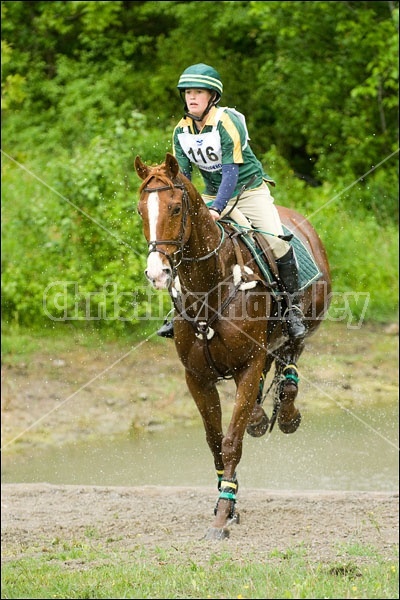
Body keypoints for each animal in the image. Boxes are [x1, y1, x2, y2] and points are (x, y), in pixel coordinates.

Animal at [134, 152, 332, 540]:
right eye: (139, 210)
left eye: (176, 207)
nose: (157, 273)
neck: (213, 284)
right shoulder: (196, 377)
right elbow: (214, 442)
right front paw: (226, 504)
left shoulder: (247, 366)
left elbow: (231, 442)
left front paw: (223, 515)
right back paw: (259, 417)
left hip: (300, 328)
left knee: (289, 368)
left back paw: (287, 414)